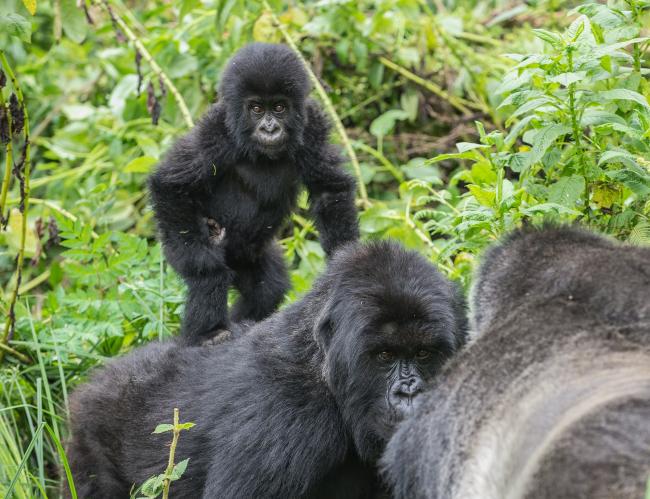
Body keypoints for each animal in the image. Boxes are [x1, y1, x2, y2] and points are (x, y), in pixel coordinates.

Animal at [149, 43, 356, 344]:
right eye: (256, 108)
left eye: (279, 107)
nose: (270, 128)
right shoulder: (216, 130)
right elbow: (170, 184)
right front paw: (204, 264)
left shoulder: (313, 125)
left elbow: (329, 190)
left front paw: (345, 261)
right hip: (175, 239)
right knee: (207, 272)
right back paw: (208, 333)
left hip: (250, 254)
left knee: (267, 288)